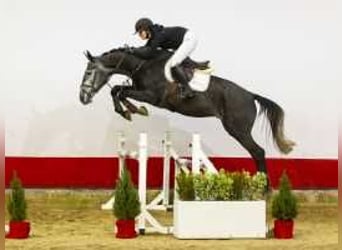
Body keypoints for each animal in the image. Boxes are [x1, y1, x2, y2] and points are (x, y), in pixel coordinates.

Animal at [79, 46, 294, 176]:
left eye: (89, 72)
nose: (83, 97)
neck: (143, 65)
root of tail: (250, 95)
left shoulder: (152, 97)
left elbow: (120, 91)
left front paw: (131, 110)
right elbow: (117, 90)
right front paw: (131, 110)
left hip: (237, 129)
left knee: (258, 151)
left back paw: (265, 189)